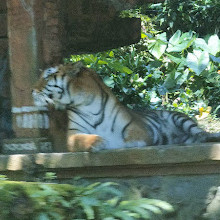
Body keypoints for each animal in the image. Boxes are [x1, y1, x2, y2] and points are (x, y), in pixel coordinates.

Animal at [31, 61, 220, 151]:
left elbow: (131, 140)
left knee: (201, 132)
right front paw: (99, 141)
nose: (31, 90)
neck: (84, 105)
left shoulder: (138, 128)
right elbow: (81, 140)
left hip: (179, 118)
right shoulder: (73, 134)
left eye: (47, 76)